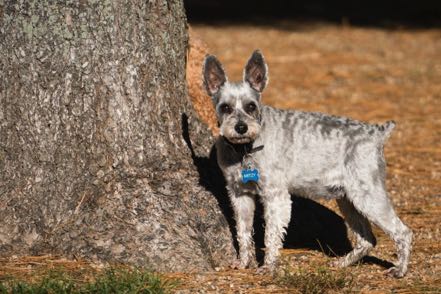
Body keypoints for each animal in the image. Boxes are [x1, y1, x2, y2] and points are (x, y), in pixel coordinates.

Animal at [203, 49, 412, 276]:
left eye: (251, 106)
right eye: (225, 107)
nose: (241, 127)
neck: (245, 149)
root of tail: (377, 132)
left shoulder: (275, 196)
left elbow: (271, 235)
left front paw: (268, 266)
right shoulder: (240, 194)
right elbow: (243, 232)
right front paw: (243, 262)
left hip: (369, 197)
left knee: (403, 232)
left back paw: (399, 270)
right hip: (348, 200)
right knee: (367, 239)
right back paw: (342, 263)